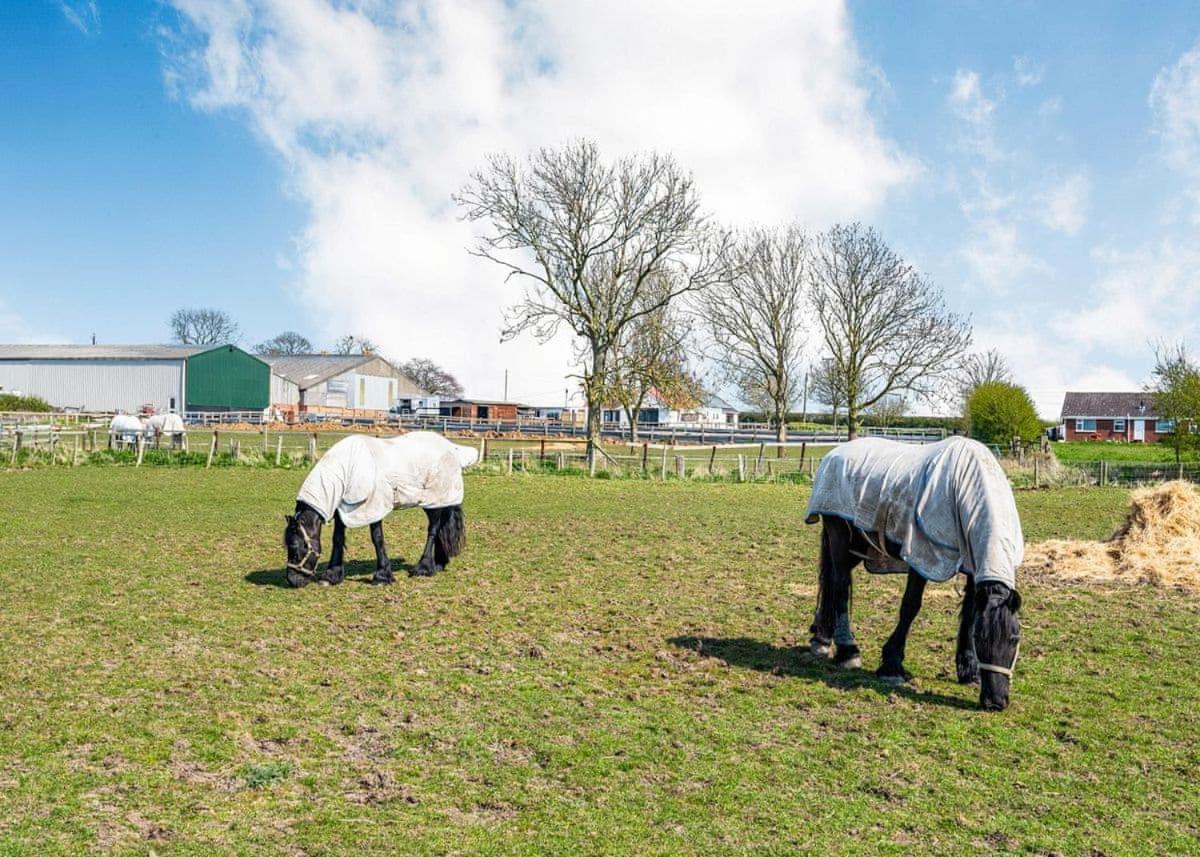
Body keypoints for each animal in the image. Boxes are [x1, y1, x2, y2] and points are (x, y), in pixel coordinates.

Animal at [283, 429, 480, 583]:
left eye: (294, 546)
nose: (292, 580)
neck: (348, 468)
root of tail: (452, 448)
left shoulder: (373, 506)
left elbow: (377, 538)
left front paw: (382, 576)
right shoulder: (342, 509)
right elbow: (337, 538)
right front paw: (332, 575)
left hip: (434, 502)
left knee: (433, 529)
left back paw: (423, 568)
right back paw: (438, 564)